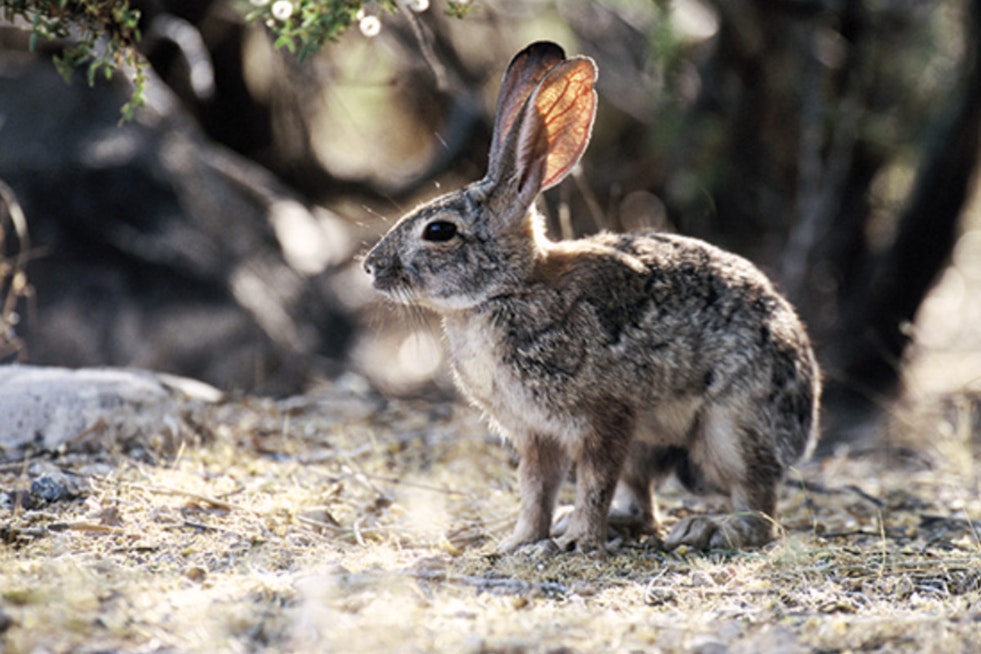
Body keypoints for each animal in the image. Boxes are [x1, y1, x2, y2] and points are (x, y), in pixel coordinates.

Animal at [363, 41, 821, 554]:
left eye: (439, 231)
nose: (371, 266)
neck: (507, 290)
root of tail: (806, 419)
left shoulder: (605, 418)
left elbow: (594, 482)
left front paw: (579, 541)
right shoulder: (535, 434)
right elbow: (536, 489)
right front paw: (519, 542)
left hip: (731, 428)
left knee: (758, 506)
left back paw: (709, 529)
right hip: (650, 445)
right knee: (643, 505)